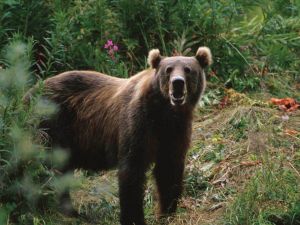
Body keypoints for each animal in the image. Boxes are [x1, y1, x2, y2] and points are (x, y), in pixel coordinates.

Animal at [37, 46, 211, 224]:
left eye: (188, 69)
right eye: (168, 70)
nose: (177, 83)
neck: (164, 112)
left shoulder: (175, 131)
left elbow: (169, 169)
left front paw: (166, 212)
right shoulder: (138, 123)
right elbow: (132, 171)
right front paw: (134, 218)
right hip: (53, 124)